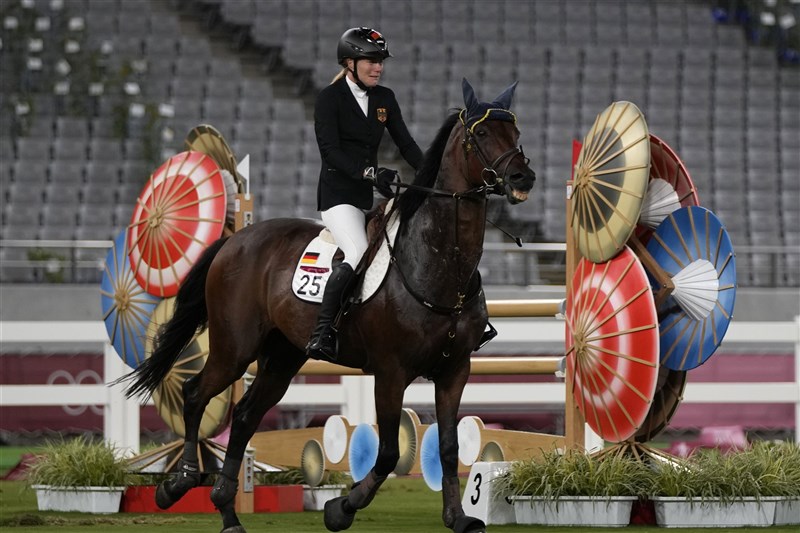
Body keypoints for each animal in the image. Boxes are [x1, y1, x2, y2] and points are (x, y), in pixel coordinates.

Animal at [125, 77, 536, 528]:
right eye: (481, 134)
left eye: (515, 130)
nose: (524, 177)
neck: (438, 262)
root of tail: (236, 240)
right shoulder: (390, 373)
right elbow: (388, 453)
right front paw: (340, 509)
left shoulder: (454, 371)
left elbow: (448, 447)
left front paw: (458, 518)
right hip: (235, 348)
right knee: (197, 393)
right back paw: (178, 484)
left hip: (282, 356)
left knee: (247, 415)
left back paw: (228, 512)